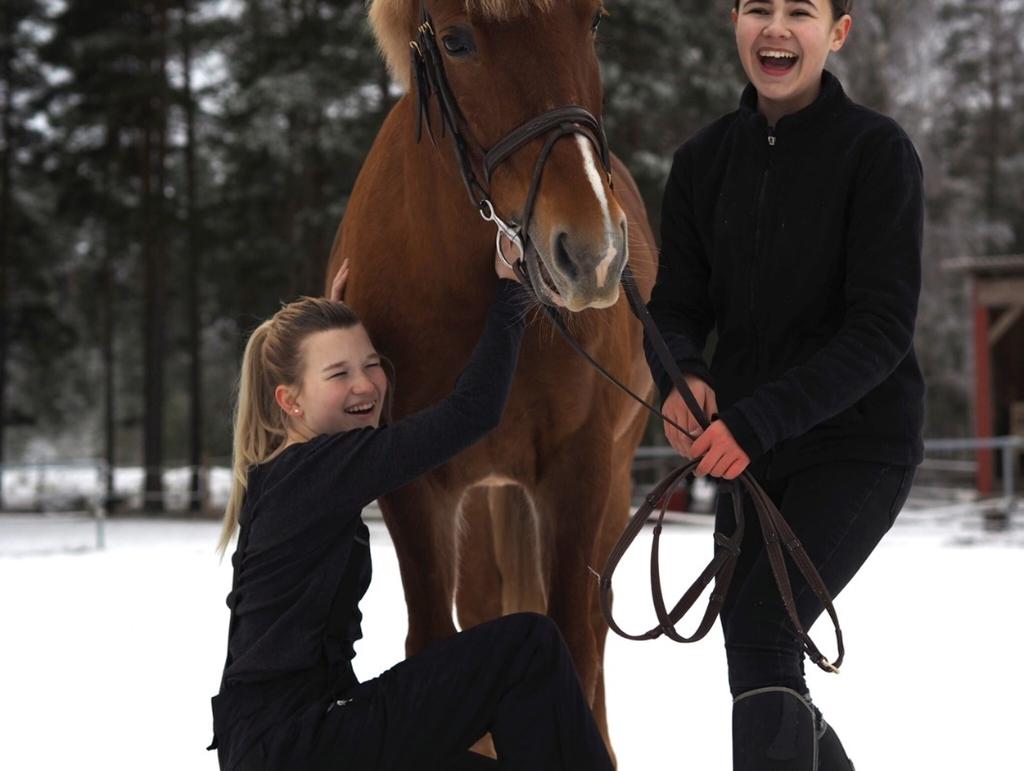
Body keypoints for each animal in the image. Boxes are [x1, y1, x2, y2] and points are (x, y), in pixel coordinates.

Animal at [325, 0, 655, 749]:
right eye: (455, 41)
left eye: (594, 24)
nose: (591, 253)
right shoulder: (415, 486)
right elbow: (439, 641)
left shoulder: (580, 469)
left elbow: (575, 637)